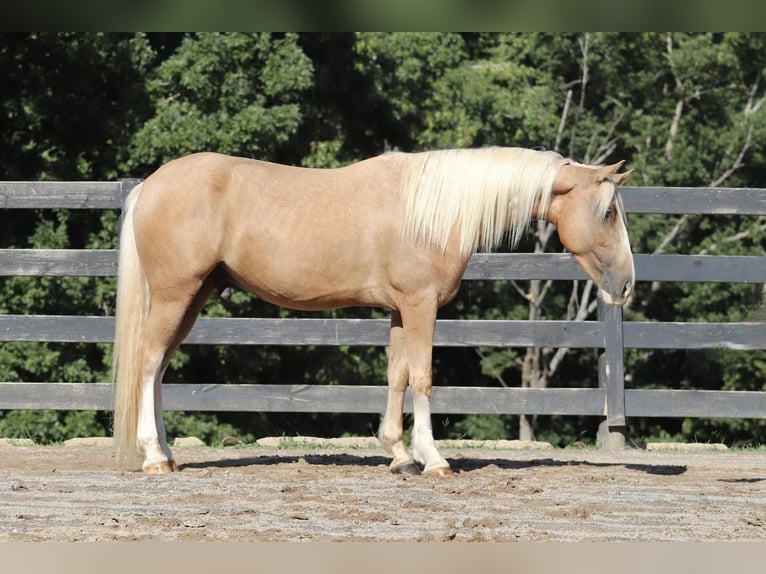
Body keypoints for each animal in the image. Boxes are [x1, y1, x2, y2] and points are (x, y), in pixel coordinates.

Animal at [111, 147, 632, 476]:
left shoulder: (401, 309)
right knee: (148, 362)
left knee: (158, 370)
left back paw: (168, 454)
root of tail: (150, 185)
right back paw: (154, 457)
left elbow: (397, 375)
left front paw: (399, 455)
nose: (626, 284)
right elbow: (422, 377)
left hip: (192, 298)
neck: (432, 212)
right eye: (608, 213)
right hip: (177, 295)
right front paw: (433, 460)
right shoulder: (421, 305)